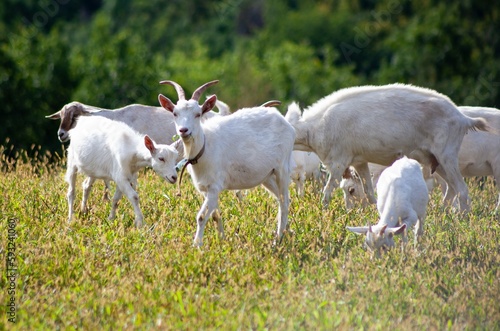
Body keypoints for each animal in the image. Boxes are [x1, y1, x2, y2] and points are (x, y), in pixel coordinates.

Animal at [158, 80, 294, 246]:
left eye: (198, 114)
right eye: (175, 113)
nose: (184, 130)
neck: (204, 149)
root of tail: (284, 121)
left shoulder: (214, 186)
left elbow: (202, 216)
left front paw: (196, 245)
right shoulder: (206, 189)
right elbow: (215, 215)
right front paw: (221, 240)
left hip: (282, 168)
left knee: (284, 202)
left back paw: (278, 240)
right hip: (267, 176)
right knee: (282, 199)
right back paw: (288, 232)